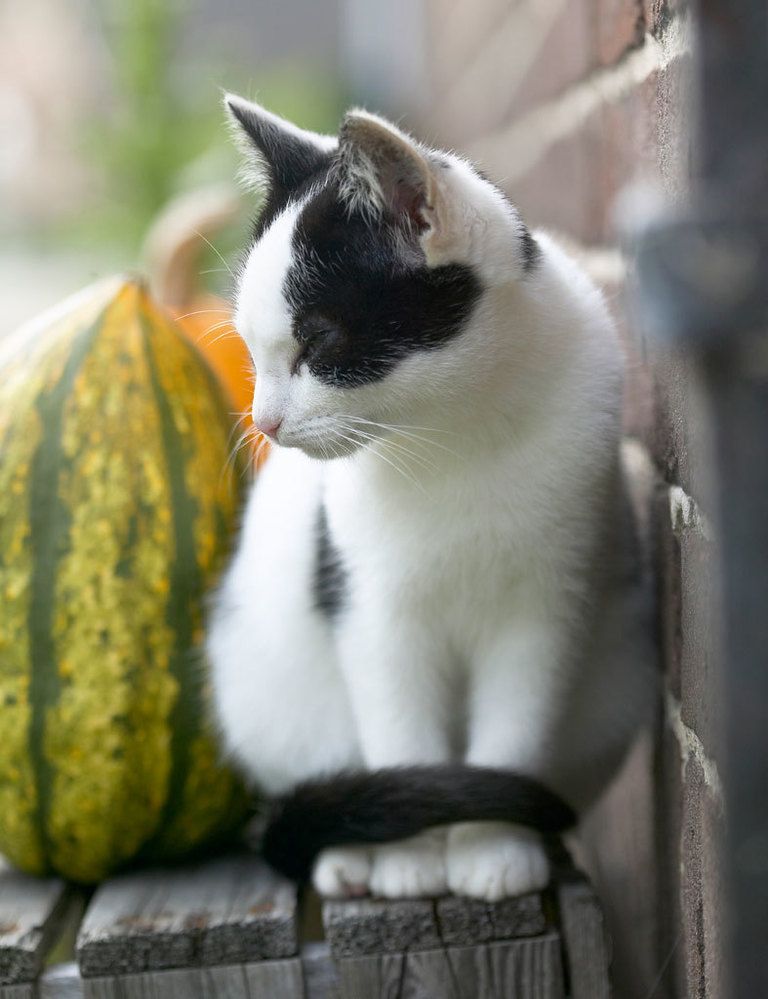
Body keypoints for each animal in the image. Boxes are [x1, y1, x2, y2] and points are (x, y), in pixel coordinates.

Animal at [208, 95, 656, 908]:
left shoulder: (547, 603)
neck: (453, 435)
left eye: (319, 340)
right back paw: (350, 852)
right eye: (254, 351)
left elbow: (515, 727)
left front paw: (492, 848)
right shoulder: (373, 606)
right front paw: (410, 862)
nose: (266, 422)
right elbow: (398, 722)